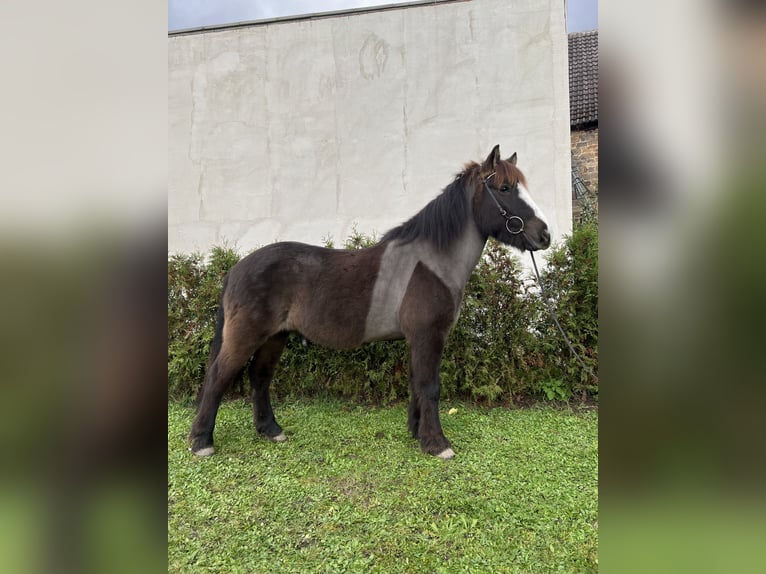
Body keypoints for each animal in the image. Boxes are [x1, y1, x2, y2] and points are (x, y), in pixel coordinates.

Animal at [191, 146, 552, 462]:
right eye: (504, 188)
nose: (545, 235)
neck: (429, 263)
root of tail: (236, 269)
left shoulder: (417, 339)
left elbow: (416, 383)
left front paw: (417, 432)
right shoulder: (428, 336)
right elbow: (430, 385)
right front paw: (437, 444)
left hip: (274, 338)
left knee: (260, 377)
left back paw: (270, 430)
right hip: (246, 335)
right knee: (218, 377)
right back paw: (201, 442)